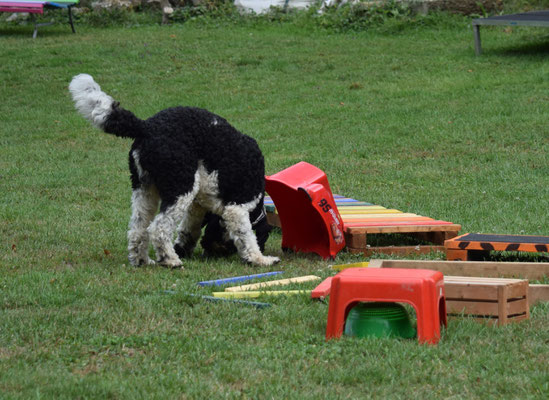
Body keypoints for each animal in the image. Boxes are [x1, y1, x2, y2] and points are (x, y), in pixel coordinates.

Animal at [68, 75, 278, 268]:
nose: (208, 251)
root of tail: (146, 127)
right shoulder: (237, 207)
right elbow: (246, 236)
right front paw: (260, 259)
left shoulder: (196, 206)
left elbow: (188, 230)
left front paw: (183, 248)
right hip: (181, 187)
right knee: (159, 228)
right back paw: (170, 260)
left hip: (144, 189)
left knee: (138, 229)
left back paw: (142, 259)